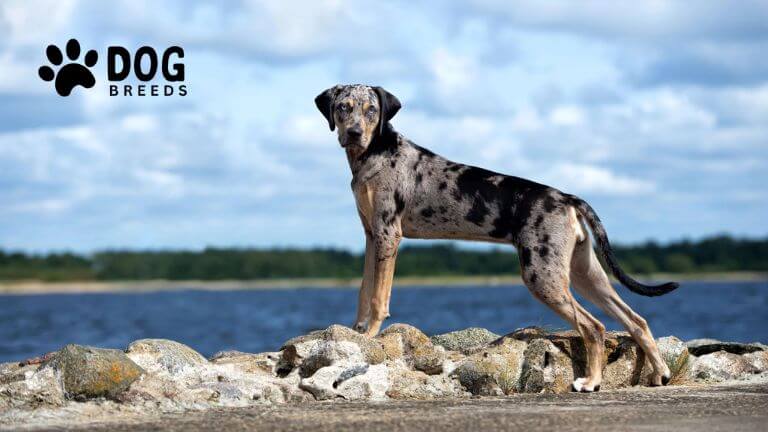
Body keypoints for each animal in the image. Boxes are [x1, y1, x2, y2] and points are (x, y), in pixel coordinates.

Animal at [312, 83, 680, 392]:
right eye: (343, 107)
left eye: (371, 110)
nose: (354, 133)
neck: (375, 153)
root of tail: (568, 198)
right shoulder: (371, 235)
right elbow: (364, 290)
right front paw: (357, 330)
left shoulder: (388, 233)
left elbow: (378, 298)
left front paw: (371, 335)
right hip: (583, 272)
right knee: (635, 319)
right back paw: (660, 373)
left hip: (542, 275)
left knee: (594, 327)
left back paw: (591, 382)